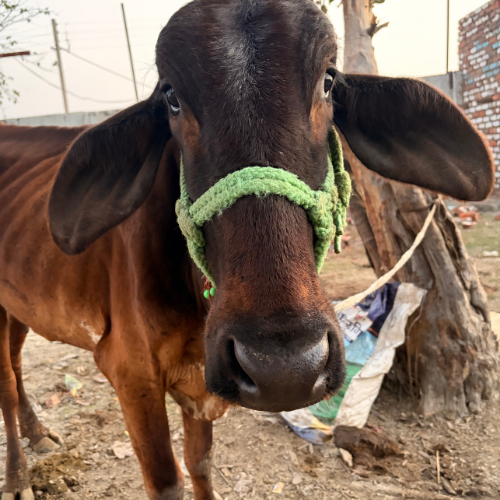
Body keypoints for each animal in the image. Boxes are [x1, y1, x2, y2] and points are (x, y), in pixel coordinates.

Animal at [0, 0, 494, 499]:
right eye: (172, 97)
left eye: (328, 81)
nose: (284, 369)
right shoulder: (130, 372)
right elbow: (168, 481)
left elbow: (200, 462)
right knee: (5, 380)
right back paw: (19, 477)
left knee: (17, 364)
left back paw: (38, 434)